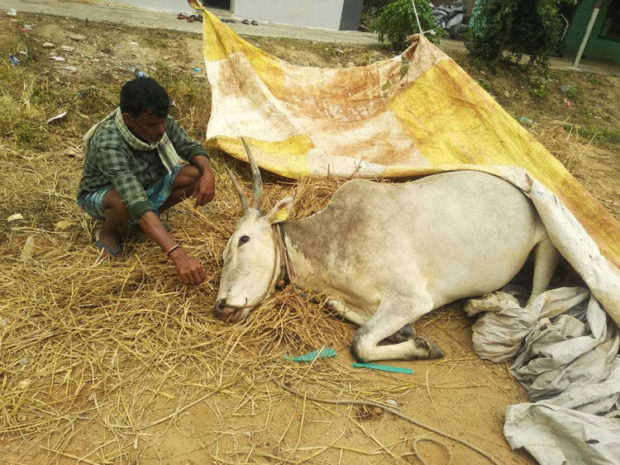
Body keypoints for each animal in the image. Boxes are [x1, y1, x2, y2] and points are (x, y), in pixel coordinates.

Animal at [216, 140, 560, 360]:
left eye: (243, 240)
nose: (220, 306)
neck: (332, 237)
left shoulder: (411, 298)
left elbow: (360, 345)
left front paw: (422, 348)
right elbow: (342, 310)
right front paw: (404, 333)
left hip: (545, 244)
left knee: (535, 302)